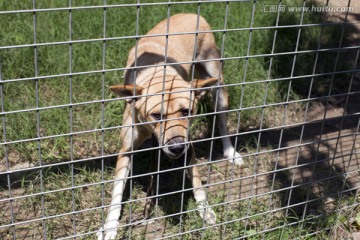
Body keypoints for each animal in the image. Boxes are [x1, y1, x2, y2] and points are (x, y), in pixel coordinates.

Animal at [98, 13, 243, 240]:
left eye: (186, 112)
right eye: (156, 115)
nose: (176, 148)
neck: (159, 74)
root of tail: (193, 14)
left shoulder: (188, 143)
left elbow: (197, 181)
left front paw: (205, 210)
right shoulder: (126, 148)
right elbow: (117, 192)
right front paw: (110, 226)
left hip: (217, 86)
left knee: (222, 123)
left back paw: (231, 152)